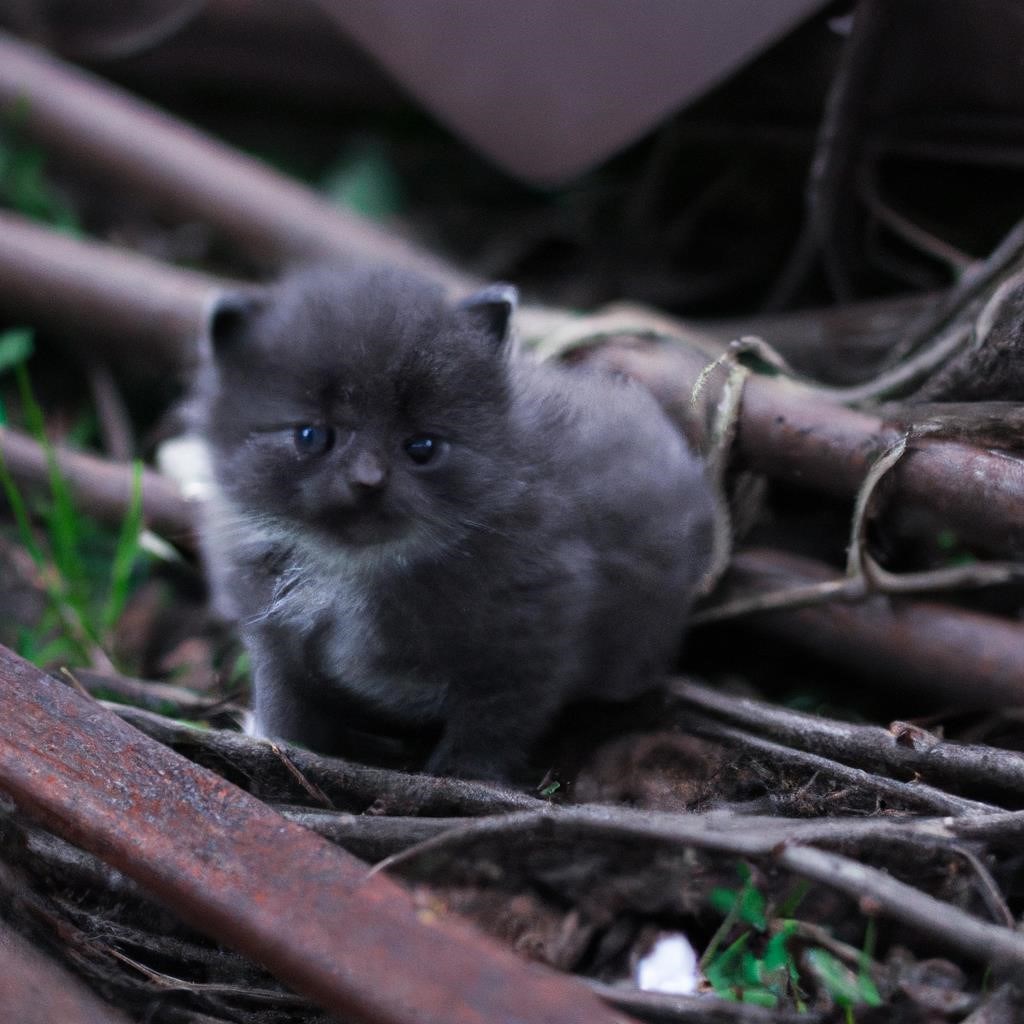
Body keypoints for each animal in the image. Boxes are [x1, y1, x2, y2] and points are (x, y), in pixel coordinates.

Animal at [197, 266, 712, 782]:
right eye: (311, 435)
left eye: (422, 446)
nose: (368, 480)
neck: (356, 567)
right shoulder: (270, 629)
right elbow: (285, 695)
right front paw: (282, 744)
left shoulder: (534, 627)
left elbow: (494, 719)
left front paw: (463, 775)